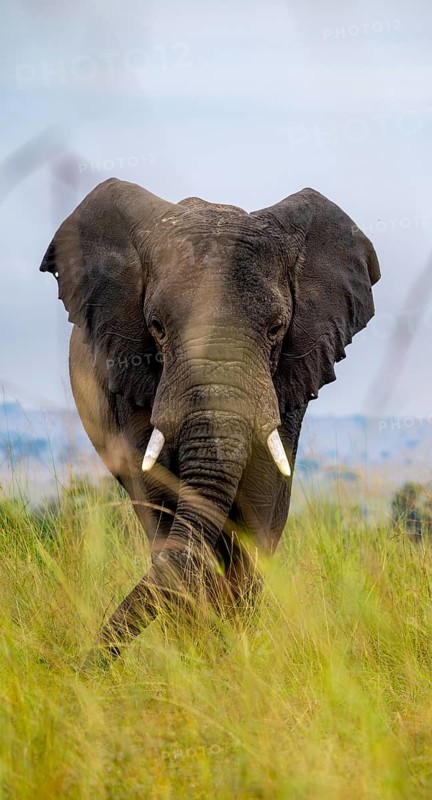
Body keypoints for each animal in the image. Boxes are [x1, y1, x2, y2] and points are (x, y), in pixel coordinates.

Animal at [40, 178, 380, 660]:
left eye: (276, 330)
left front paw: (235, 647)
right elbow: (163, 499)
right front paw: (199, 641)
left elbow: (258, 507)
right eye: (157, 327)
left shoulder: (286, 384)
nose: (82, 666)